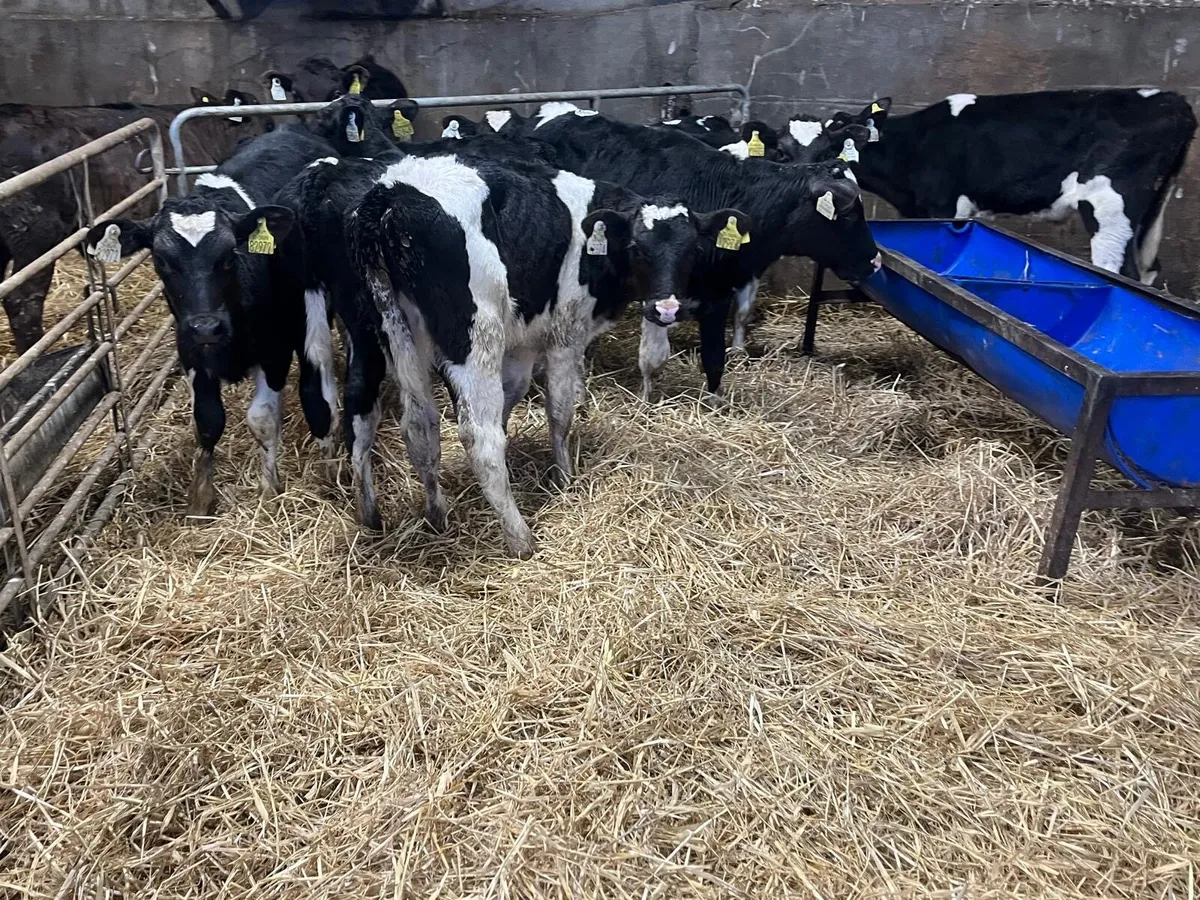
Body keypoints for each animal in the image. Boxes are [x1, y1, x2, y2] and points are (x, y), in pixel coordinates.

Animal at [82, 126, 336, 518]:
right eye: (160, 259)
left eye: (230, 254)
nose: (206, 327)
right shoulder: (190, 350)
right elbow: (208, 419)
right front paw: (201, 497)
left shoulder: (275, 350)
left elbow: (262, 418)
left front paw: (269, 488)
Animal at [527, 103, 880, 399]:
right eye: (848, 213)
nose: (874, 261)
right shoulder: (658, 292)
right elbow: (653, 358)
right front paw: (645, 402)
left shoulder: (720, 290)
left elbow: (715, 357)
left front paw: (714, 401)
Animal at [843, 90, 1197, 284]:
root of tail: (1176, 102)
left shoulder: (943, 207)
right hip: (1149, 212)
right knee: (1149, 269)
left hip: (1109, 206)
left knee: (1121, 271)